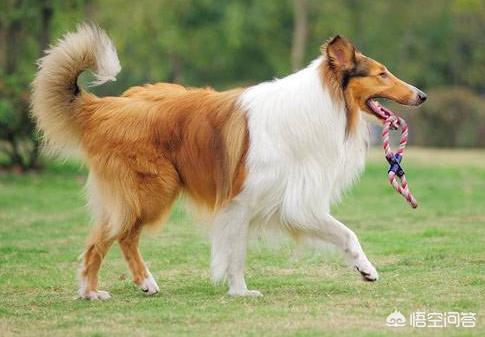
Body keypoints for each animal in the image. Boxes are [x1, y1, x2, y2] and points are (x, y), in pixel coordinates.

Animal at [30, 23, 426, 298]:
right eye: (381, 74)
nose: (422, 95)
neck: (321, 104)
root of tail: (106, 106)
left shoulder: (293, 202)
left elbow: (345, 232)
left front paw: (366, 269)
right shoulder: (240, 201)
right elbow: (235, 253)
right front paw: (240, 291)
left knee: (122, 236)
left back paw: (144, 283)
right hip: (151, 191)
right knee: (104, 239)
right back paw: (91, 291)